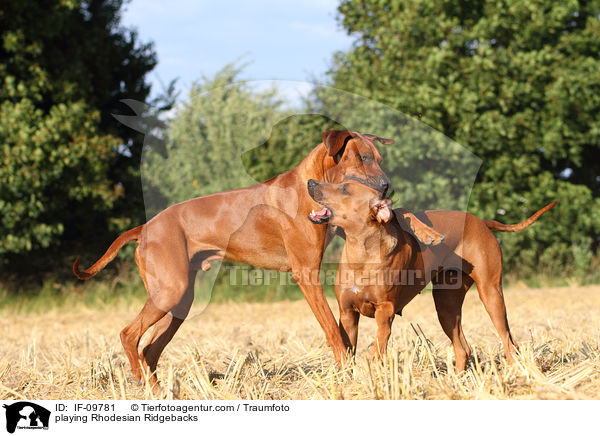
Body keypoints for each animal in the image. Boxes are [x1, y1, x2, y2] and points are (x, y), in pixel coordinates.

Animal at [72, 130, 442, 388]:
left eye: (379, 157)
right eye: (363, 157)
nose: (387, 186)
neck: (310, 185)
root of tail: (145, 226)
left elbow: (400, 214)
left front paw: (426, 231)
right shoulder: (305, 273)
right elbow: (333, 331)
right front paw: (344, 371)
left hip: (179, 299)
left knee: (149, 349)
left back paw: (157, 389)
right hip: (170, 290)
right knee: (128, 334)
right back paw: (139, 379)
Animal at [308, 179, 556, 370]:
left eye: (345, 189)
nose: (310, 182)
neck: (361, 251)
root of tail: (482, 222)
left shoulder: (385, 310)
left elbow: (378, 344)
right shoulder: (347, 313)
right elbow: (347, 351)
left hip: (491, 293)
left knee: (508, 341)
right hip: (446, 304)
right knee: (463, 348)